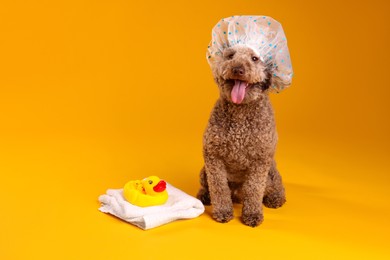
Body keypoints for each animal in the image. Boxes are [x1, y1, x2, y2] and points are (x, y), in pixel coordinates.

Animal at [197, 15, 290, 225]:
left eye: (254, 59)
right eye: (230, 56)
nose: (237, 69)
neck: (240, 112)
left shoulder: (260, 161)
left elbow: (254, 190)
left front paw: (253, 214)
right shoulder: (213, 157)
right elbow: (219, 188)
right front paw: (223, 211)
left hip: (271, 173)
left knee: (275, 186)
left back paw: (275, 198)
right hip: (204, 171)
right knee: (209, 187)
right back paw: (204, 196)